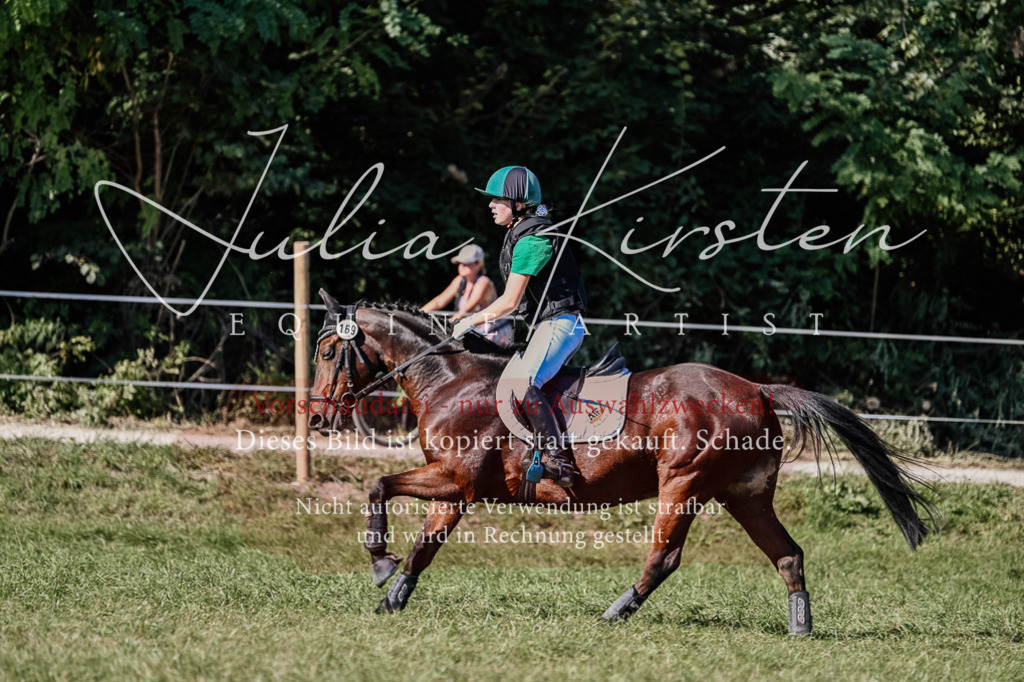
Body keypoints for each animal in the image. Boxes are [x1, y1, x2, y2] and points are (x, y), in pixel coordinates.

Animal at [307, 292, 938, 635]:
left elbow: (377, 485)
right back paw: (800, 628)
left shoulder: (455, 480)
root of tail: (757, 389)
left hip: (683, 482)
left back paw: (615, 612)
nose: (314, 417)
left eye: (328, 350)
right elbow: (423, 545)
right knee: (788, 554)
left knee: (665, 556)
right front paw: (391, 595)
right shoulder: (455, 490)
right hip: (744, 493)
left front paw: (380, 565)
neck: (450, 380)